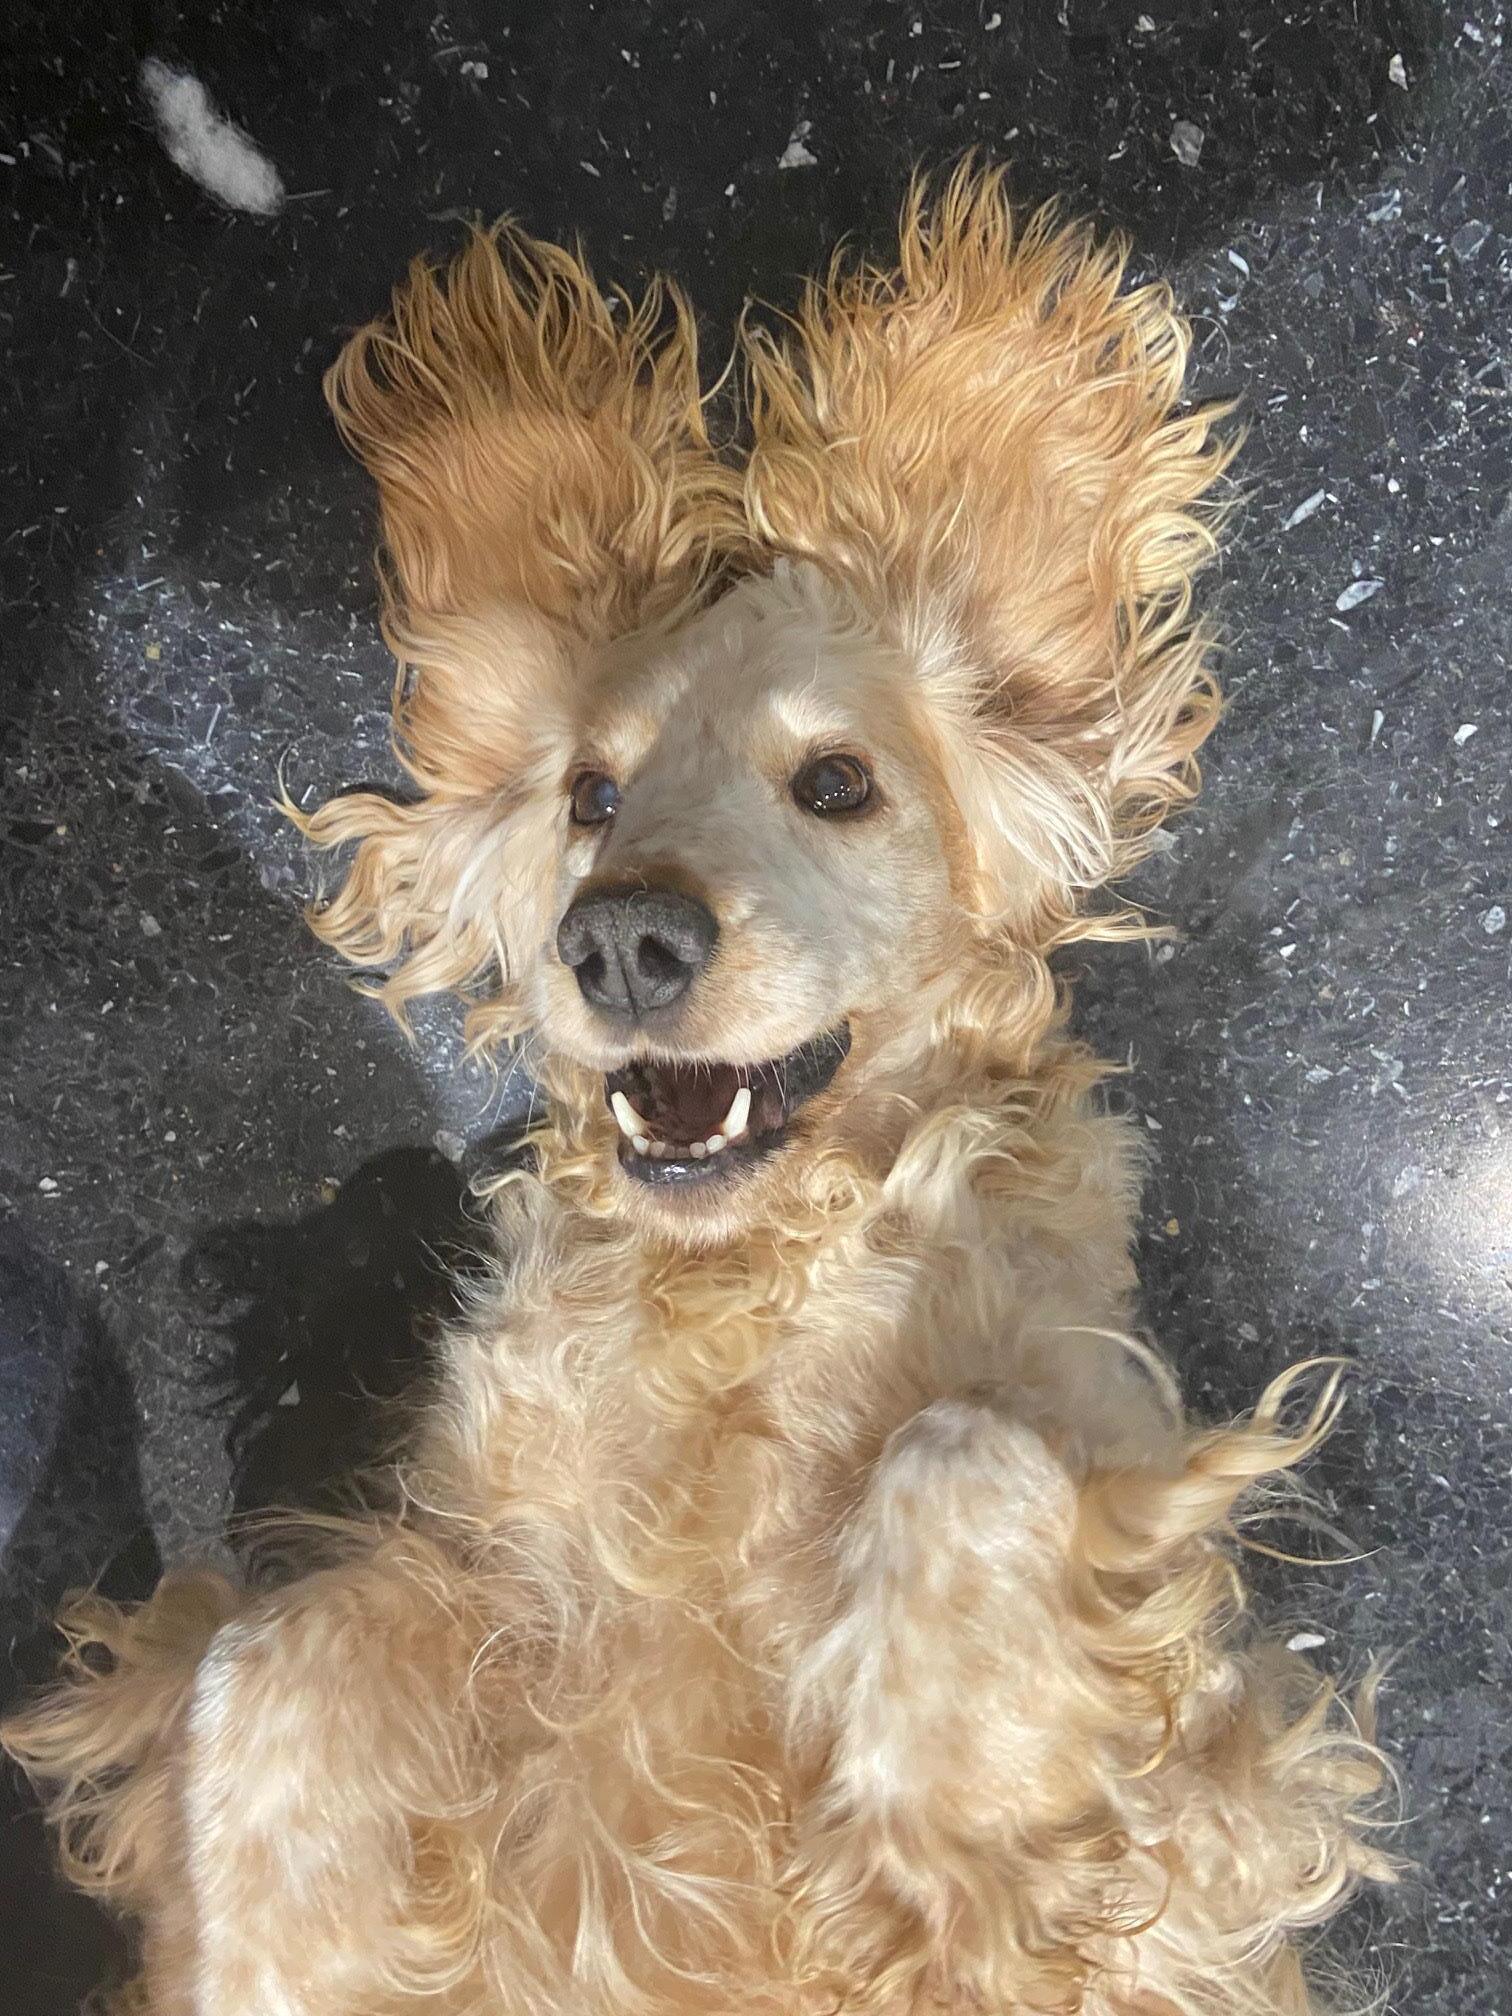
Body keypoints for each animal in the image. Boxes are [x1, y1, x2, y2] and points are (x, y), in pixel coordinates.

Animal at [4, 166, 1394, 2014]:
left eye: (838, 783)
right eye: (591, 794)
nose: (620, 942)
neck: (730, 1298)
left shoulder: (1204, 1813)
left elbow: (957, 1448)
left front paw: (954, 1844)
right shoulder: (470, 1576)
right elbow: (273, 1641)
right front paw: (284, 1945)